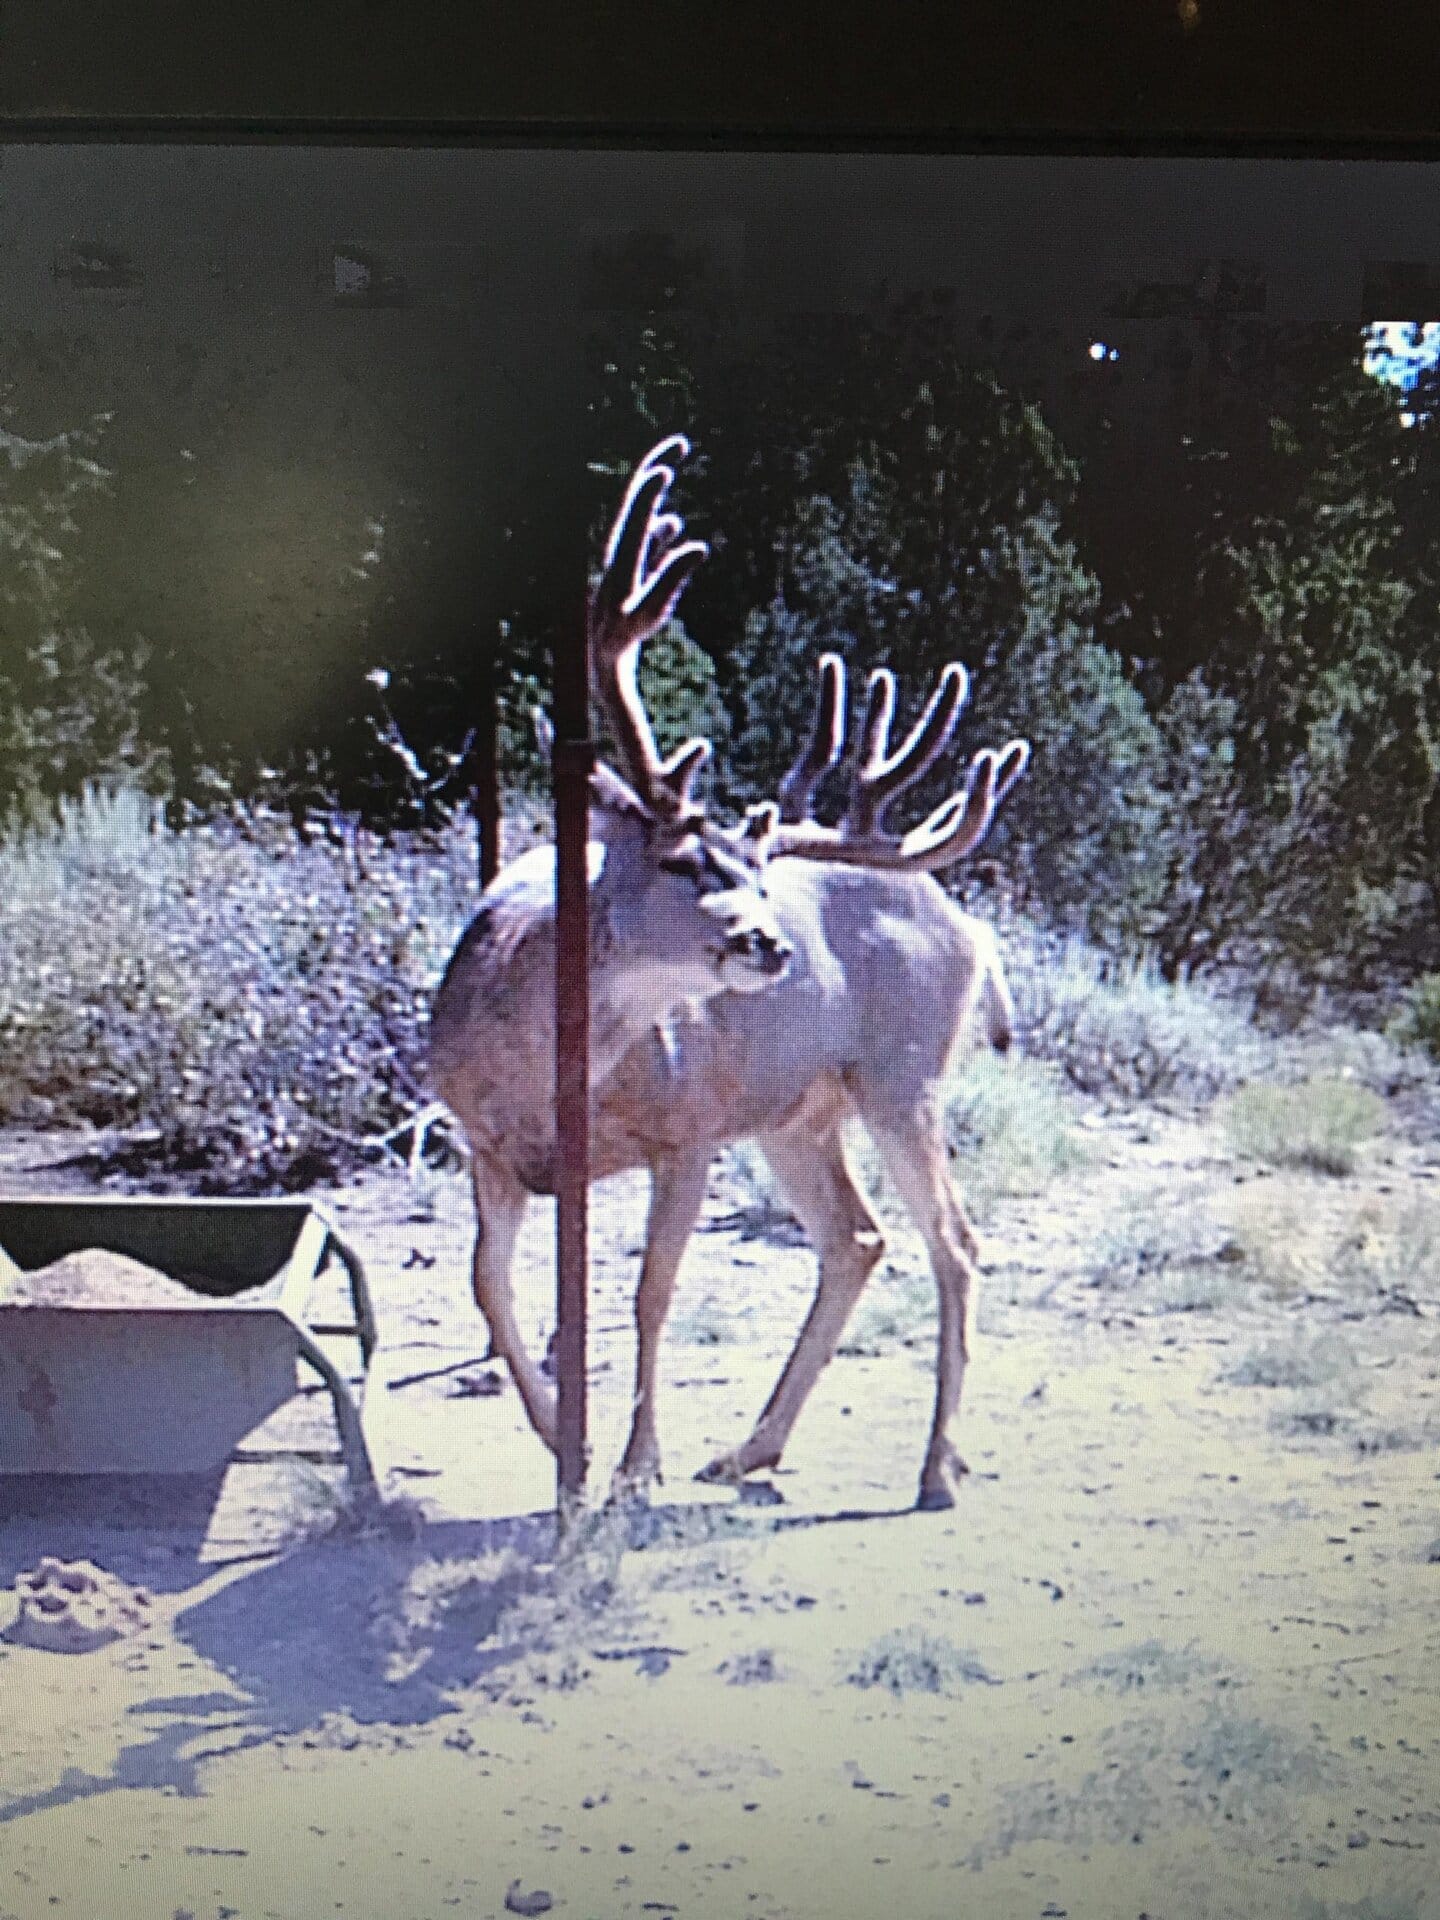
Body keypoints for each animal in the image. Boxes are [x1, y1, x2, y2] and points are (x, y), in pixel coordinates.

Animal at [428, 435, 1030, 1512]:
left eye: (754, 874)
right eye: (681, 861)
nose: (771, 943)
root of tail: (968, 924)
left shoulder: (691, 1130)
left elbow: (647, 1292)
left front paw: (632, 1467)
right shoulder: (485, 1147)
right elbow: (491, 1289)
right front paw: (560, 1443)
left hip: (901, 1077)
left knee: (953, 1242)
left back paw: (935, 1467)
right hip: (795, 1112)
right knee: (856, 1238)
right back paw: (751, 1449)